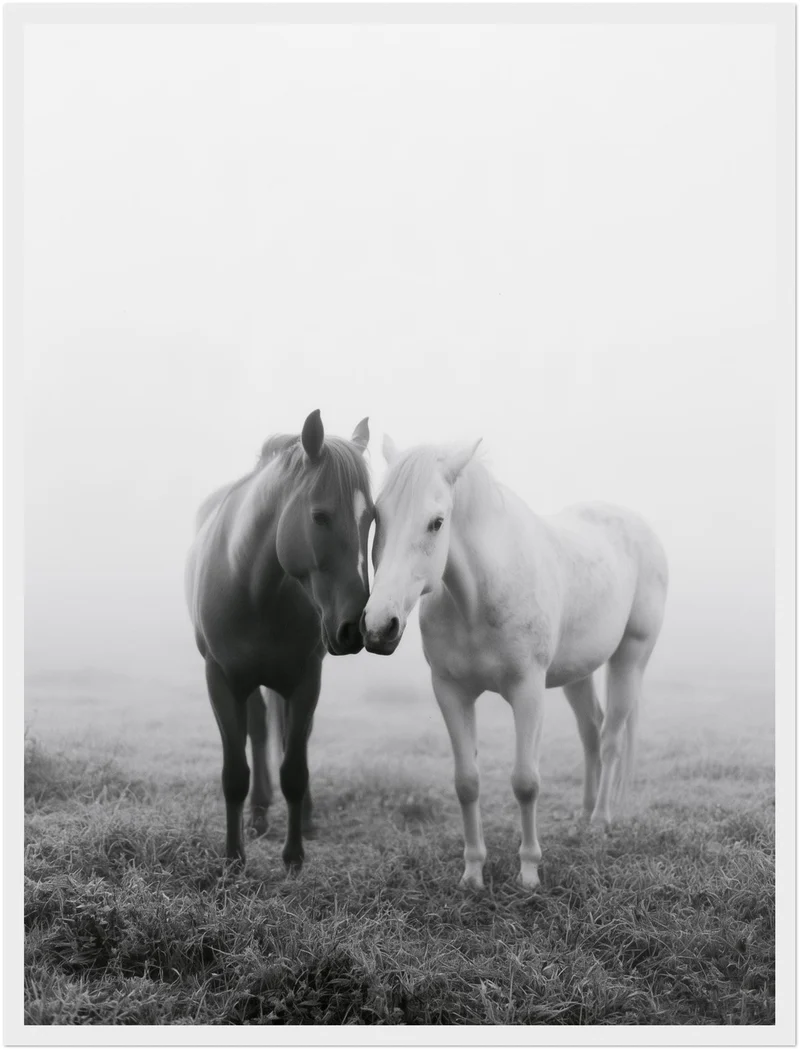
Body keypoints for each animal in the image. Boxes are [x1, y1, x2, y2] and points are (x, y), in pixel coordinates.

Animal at [185, 410, 373, 871]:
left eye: (372, 518)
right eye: (320, 516)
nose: (354, 628)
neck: (253, 584)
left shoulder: (305, 680)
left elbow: (294, 768)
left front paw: (293, 856)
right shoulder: (221, 681)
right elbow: (235, 772)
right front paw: (234, 857)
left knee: (288, 737)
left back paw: (302, 818)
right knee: (257, 731)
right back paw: (257, 813)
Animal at [362, 437, 668, 891]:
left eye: (436, 522)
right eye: (377, 516)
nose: (379, 627)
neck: (478, 600)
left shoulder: (527, 691)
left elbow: (525, 782)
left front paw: (528, 872)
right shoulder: (450, 692)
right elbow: (466, 782)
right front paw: (473, 872)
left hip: (629, 659)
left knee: (611, 738)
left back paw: (600, 819)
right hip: (578, 673)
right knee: (591, 733)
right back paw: (584, 814)